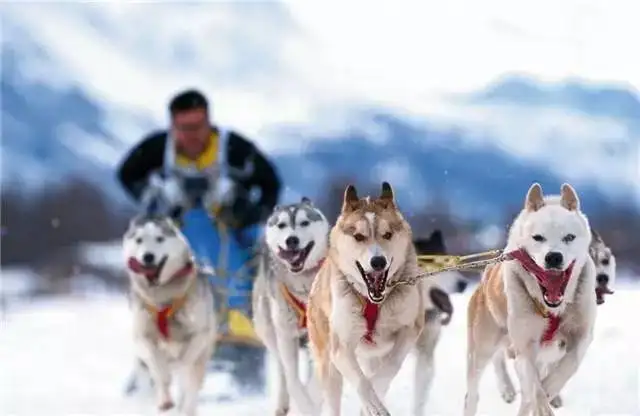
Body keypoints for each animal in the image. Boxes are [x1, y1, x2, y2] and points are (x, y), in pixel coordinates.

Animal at [122, 216, 218, 414]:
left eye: (159, 239)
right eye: (139, 240)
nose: (148, 256)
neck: (162, 300)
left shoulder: (199, 334)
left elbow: (184, 365)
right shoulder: (143, 337)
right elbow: (159, 369)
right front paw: (165, 398)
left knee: (190, 386)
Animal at [251, 198, 330, 416]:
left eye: (304, 223)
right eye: (282, 225)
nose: (291, 240)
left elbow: (316, 381)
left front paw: (314, 401)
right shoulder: (286, 335)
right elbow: (293, 380)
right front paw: (306, 406)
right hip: (269, 330)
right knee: (282, 369)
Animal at [308, 182, 428, 416]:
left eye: (387, 234)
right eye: (358, 236)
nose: (378, 261)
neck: (374, 301)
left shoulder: (410, 329)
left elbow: (388, 368)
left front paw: (375, 395)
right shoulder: (341, 346)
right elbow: (362, 382)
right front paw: (372, 404)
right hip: (327, 364)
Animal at [462, 184, 596, 416]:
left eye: (569, 237)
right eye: (538, 237)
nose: (554, 257)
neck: (552, 309)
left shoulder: (581, 336)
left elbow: (569, 364)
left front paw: (551, 389)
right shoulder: (524, 346)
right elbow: (533, 384)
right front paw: (541, 403)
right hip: (482, 347)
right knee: (475, 389)